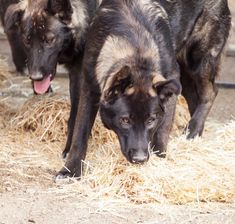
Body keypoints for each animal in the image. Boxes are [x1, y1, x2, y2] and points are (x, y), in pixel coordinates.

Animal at [55, 0, 231, 178]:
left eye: (151, 120)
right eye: (125, 120)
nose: (140, 159)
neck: (135, 48)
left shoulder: (170, 81)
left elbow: (162, 131)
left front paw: (159, 160)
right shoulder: (89, 88)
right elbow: (80, 133)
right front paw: (71, 170)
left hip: (198, 62)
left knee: (211, 92)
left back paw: (193, 130)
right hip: (185, 74)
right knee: (196, 98)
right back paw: (195, 132)